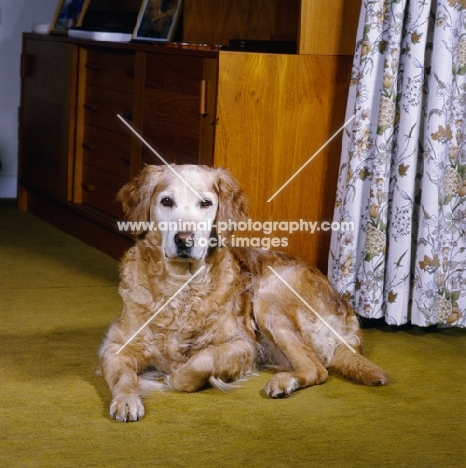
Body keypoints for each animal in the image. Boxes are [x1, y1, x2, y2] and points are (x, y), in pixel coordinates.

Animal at [99, 165, 390, 420]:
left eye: (206, 203)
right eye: (166, 201)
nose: (184, 239)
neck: (181, 286)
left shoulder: (243, 345)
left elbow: (199, 361)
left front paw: (177, 375)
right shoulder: (114, 347)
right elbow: (123, 377)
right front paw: (127, 400)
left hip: (268, 294)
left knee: (317, 370)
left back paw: (282, 383)